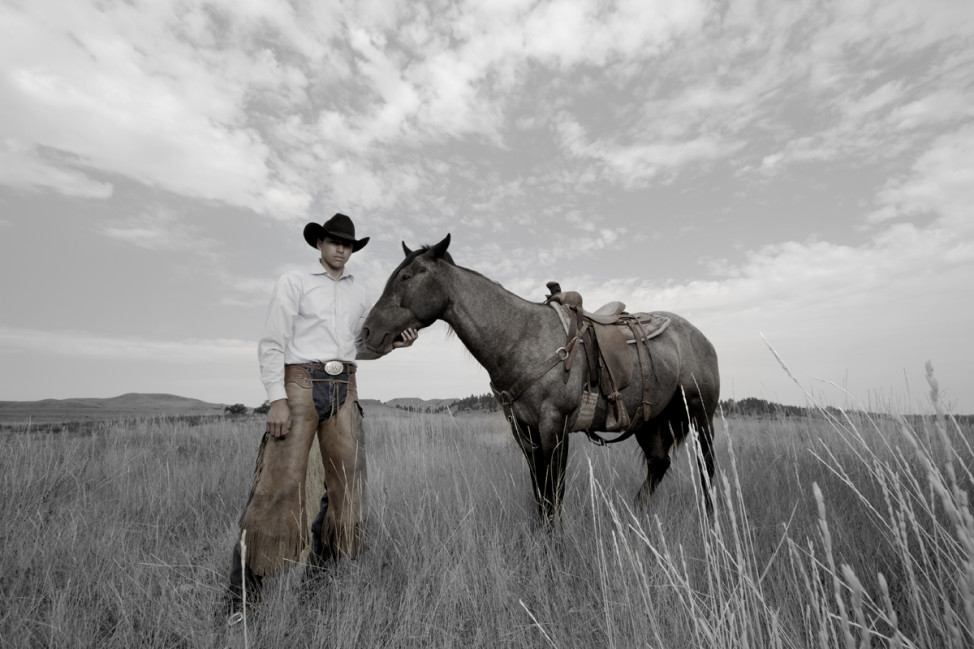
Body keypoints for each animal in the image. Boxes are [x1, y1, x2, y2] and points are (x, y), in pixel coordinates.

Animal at [362, 233, 720, 520]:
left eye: (406, 276)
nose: (367, 332)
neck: (520, 338)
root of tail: (703, 339)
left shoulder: (555, 427)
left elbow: (554, 494)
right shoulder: (525, 432)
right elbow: (540, 493)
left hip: (700, 417)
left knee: (707, 469)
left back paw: (710, 522)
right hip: (646, 421)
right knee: (659, 464)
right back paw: (635, 515)